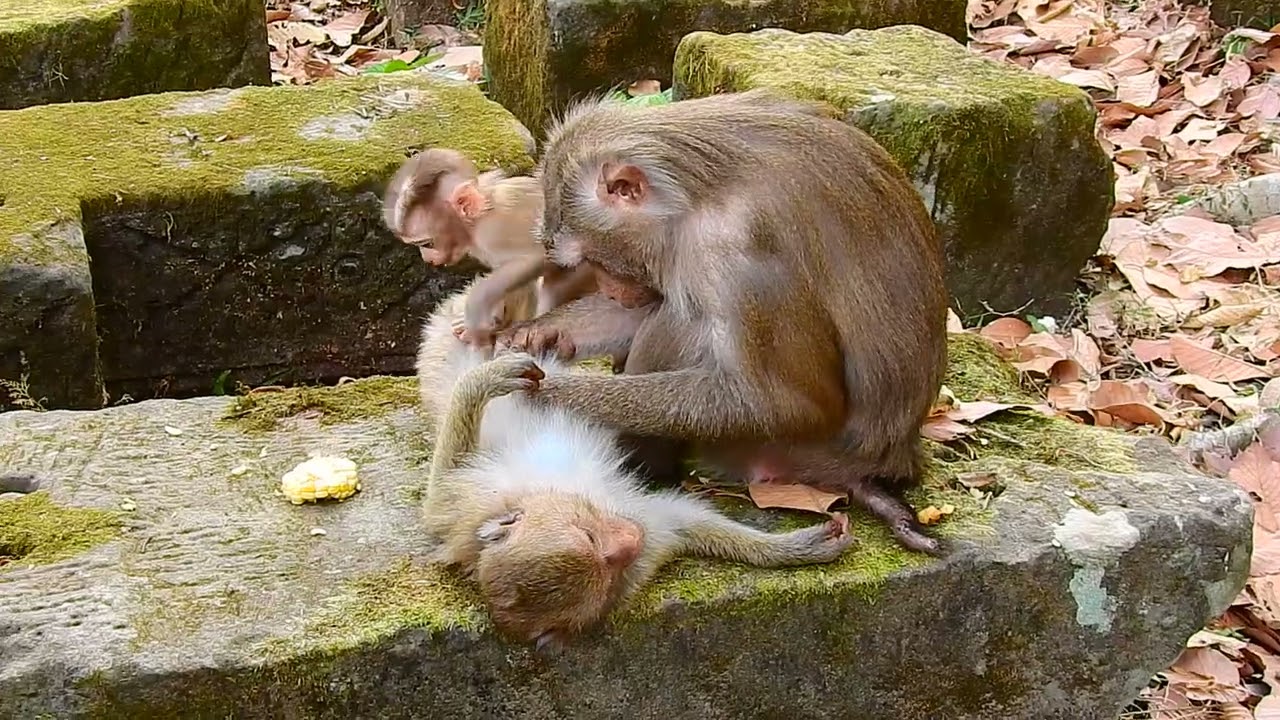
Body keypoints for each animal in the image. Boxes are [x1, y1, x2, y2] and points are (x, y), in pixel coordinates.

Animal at [382, 148, 598, 349]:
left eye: (427, 244)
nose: (427, 258)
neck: (478, 218)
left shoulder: (492, 234)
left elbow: (540, 257)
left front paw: (477, 309)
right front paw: (495, 319)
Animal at [417, 289, 855, 647]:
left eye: (588, 535)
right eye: (608, 565)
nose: (630, 539)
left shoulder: (468, 502)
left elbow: (441, 492)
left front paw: (485, 379)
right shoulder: (641, 542)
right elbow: (682, 521)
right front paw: (789, 550)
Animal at [494, 89, 950, 555]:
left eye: (595, 259)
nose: (611, 290)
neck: (696, 192)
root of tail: (888, 457)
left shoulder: (734, 253)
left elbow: (785, 402)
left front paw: (548, 392)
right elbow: (650, 302)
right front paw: (537, 334)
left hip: (784, 450)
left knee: (683, 321)